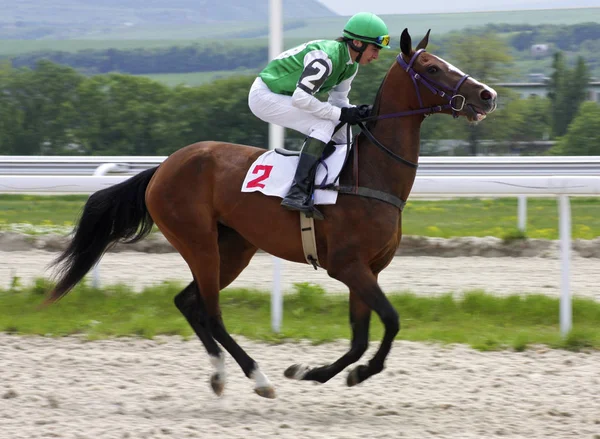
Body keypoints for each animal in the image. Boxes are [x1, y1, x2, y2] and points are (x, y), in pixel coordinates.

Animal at [44, 29, 496, 400]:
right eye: (432, 67)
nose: (487, 95)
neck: (368, 176)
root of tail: (163, 167)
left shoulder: (368, 269)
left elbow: (359, 339)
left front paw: (317, 372)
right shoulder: (347, 266)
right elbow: (391, 320)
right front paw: (330, 372)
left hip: (234, 248)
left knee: (188, 302)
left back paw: (220, 375)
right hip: (199, 242)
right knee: (210, 312)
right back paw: (257, 377)